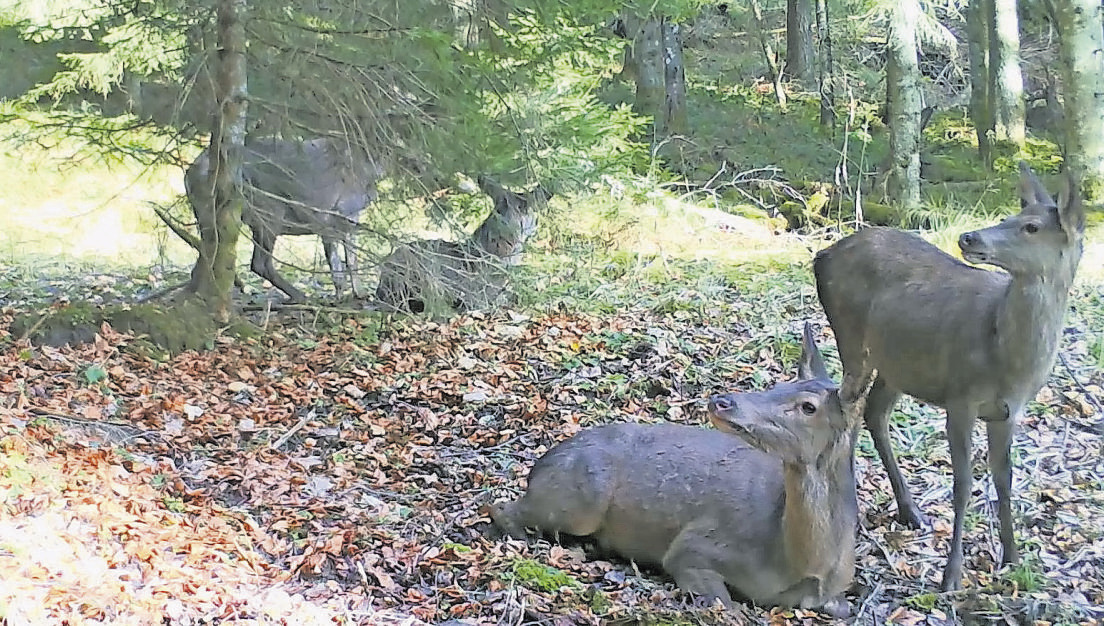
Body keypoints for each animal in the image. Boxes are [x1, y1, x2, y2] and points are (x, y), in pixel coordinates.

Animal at [185, 136, 384, 304]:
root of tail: (190, 173)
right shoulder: (331, 215)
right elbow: (341, 262)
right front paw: (344, 297)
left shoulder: (343, 221)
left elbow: (349, 259)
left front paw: (358, 294)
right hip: (269, 212)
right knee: (260, 264)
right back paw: (300, 296)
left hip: (210, 216)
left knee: (205, 258)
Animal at [494, 322, 869, 618]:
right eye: (778, 384)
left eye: (808, 406)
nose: (722, 400)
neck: (795, 564)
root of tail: (542, 463)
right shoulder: (696, 545)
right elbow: (722, 601)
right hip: (579, 499)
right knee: (500, 507)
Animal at [816, 163, 1081, 591]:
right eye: (1012, 215)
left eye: (1031, 226)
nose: (969, 237)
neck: (1006, 359)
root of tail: (821, 255)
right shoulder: (960, 397)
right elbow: (963, 484)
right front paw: (951, 574)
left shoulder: (1008, 411)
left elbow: (1004, 479)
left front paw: (1012, 557)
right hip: (852, 336)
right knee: (845, 410)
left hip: (898, 362)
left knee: (872, 412)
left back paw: (910, 511)